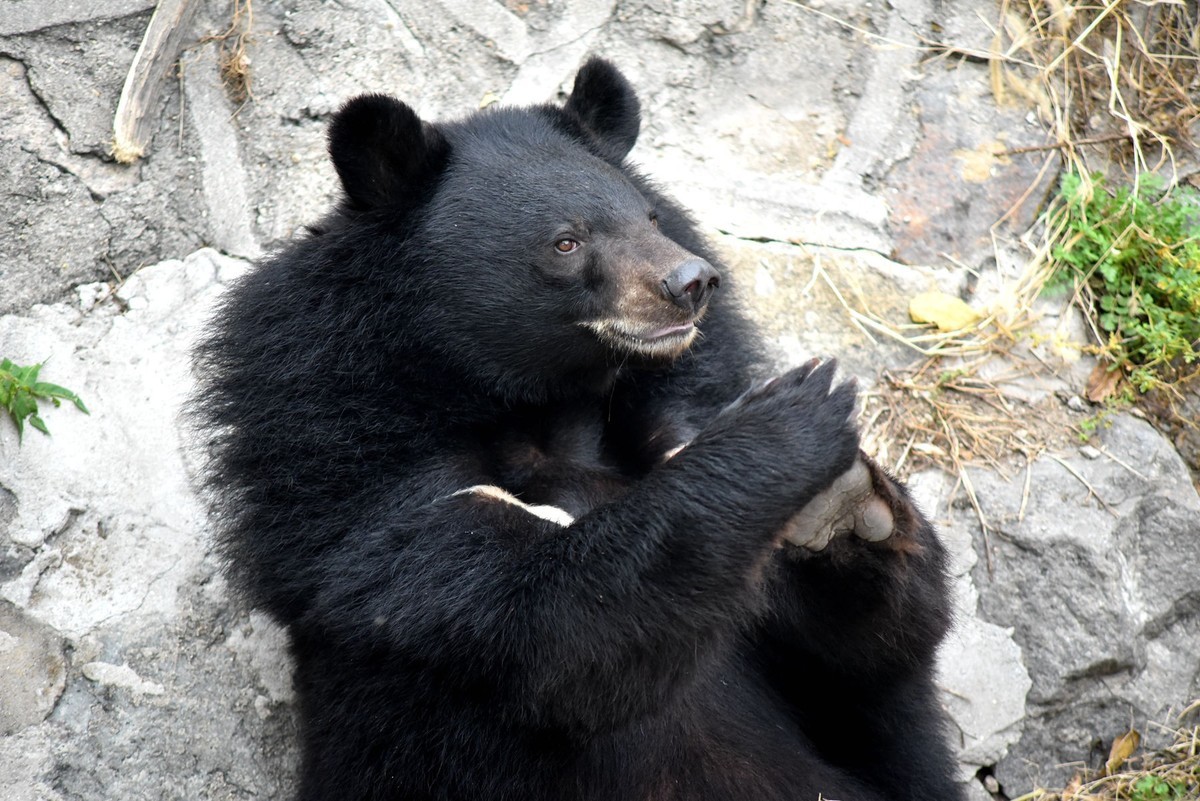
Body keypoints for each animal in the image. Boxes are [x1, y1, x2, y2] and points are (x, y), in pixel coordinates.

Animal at [196, 57, 964, 801]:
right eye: (566, 242)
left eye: (650, 216)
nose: (691, 282)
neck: (543, 406)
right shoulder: (350, 473)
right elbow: (554, 627)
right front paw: (792, 418)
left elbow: (861, 650)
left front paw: (841, 505)